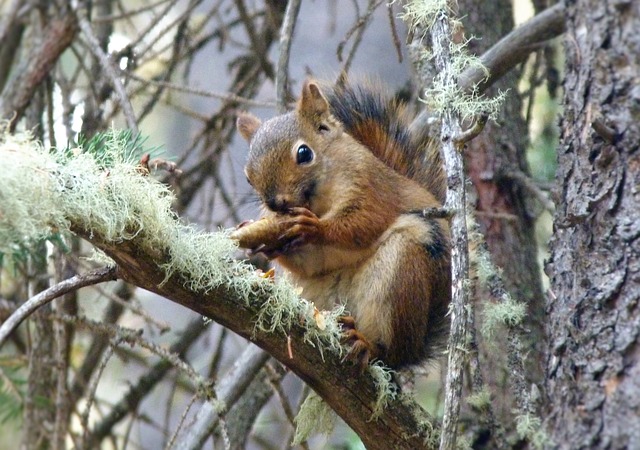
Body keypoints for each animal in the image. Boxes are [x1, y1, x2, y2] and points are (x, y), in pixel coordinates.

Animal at [234, 80, 450, 370]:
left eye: (304, 153)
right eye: (248, 177)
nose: (275, 203)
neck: (317, 201)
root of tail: (413, 352)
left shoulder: (371, 188)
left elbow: (364, 222)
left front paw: (314, 228)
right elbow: (312, 262)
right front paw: (261, 242)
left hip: (401, 277)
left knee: (387, 351)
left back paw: (368, 344)